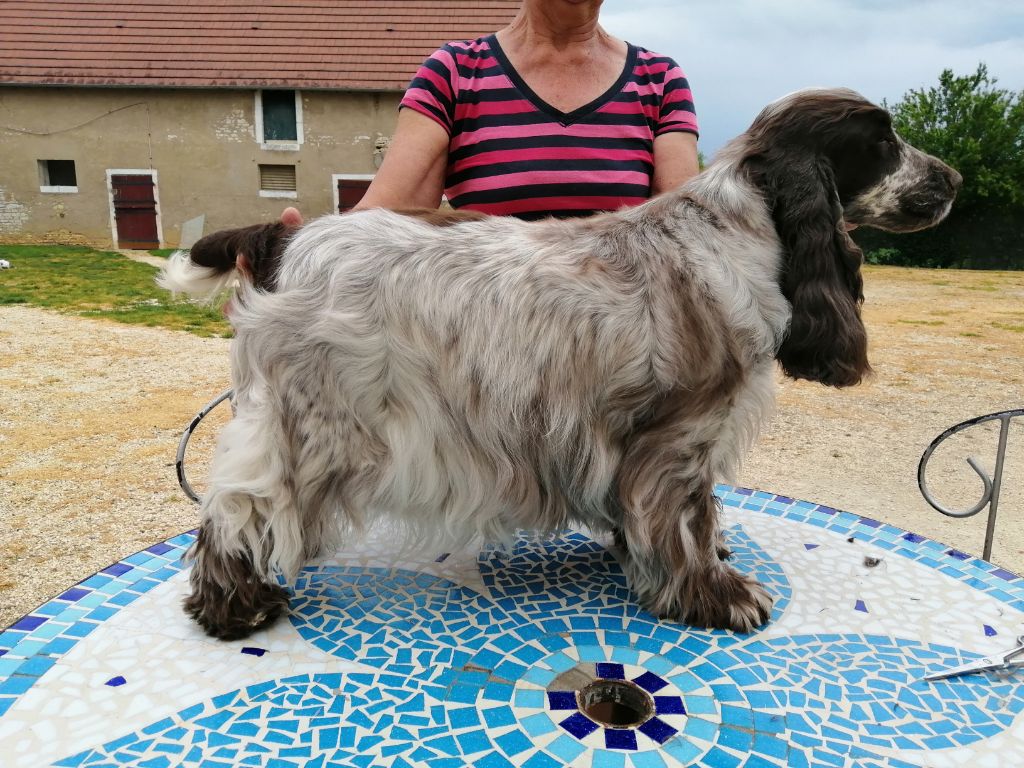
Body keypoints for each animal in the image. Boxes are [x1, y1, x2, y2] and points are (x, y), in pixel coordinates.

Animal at [159, 88, 960, 640]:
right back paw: (236, 607)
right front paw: (718, 594)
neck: (742, 229)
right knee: (238, 510)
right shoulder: (681, 435)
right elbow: (688, 520)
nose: (951, 178)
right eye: (883, 141)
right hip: (315, 423)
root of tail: (283, 239)